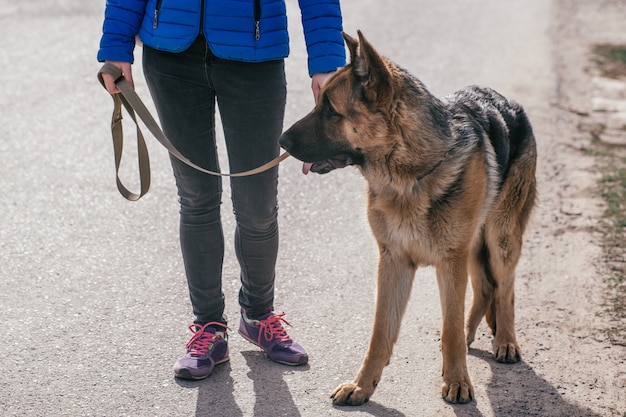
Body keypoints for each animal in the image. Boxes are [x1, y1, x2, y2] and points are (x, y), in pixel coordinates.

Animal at [278, 30, 536, 404]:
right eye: (318, 101)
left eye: (330, 109)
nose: (281, 140)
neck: (408, 173)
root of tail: (510, 103)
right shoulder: (394, 260)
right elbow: (380, 333)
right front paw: (362, 385)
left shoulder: (449, 260)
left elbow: (450, 326)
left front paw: (457, 381)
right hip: (474, 247)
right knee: (484, 288)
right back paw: (474, 332)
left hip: (500, 238)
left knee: (505, 288)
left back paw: (505, 341)